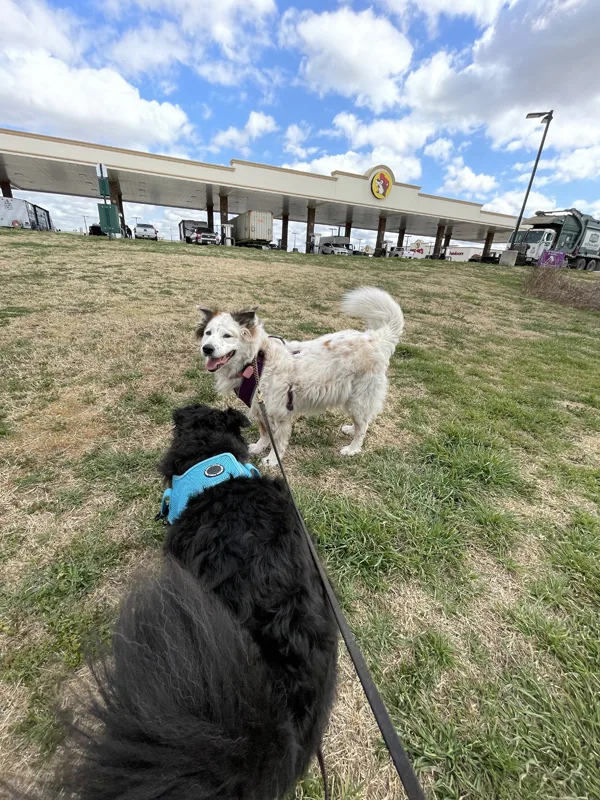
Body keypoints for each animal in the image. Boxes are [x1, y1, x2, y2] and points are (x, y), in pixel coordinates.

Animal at [199, 286, 406, 466]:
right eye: (208, 333)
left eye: (227, 336)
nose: (206, 349)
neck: (257, 361)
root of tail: (375, 338)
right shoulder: (260, 407)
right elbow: (264, 432)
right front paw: (258, 448)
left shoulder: (279, 413)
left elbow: (277, 441)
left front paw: (272, 460)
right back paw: (350, 430)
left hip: (359, 398)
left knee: (363, 426)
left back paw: (353, 448)